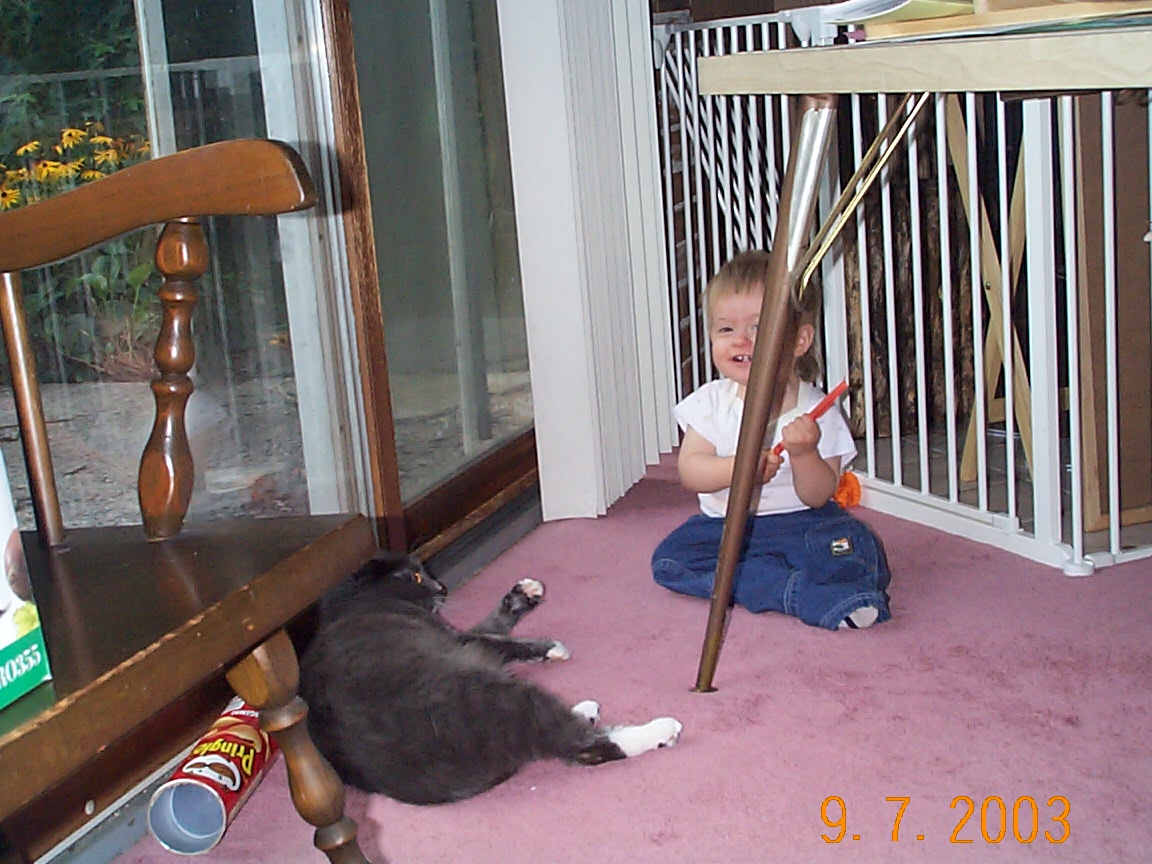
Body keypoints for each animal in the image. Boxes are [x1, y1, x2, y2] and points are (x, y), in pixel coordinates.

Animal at [298, 551, 683, 805]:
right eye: (417, 576)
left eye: (426, 572)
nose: (442, 587)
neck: (359, 602)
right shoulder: (458, 639)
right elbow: (498, 640)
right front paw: (551, 646)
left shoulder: (459, 632)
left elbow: (493, 624)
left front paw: (525, 593)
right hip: (500, 695)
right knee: (582, 746)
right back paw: (661, 730)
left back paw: (587, 710)